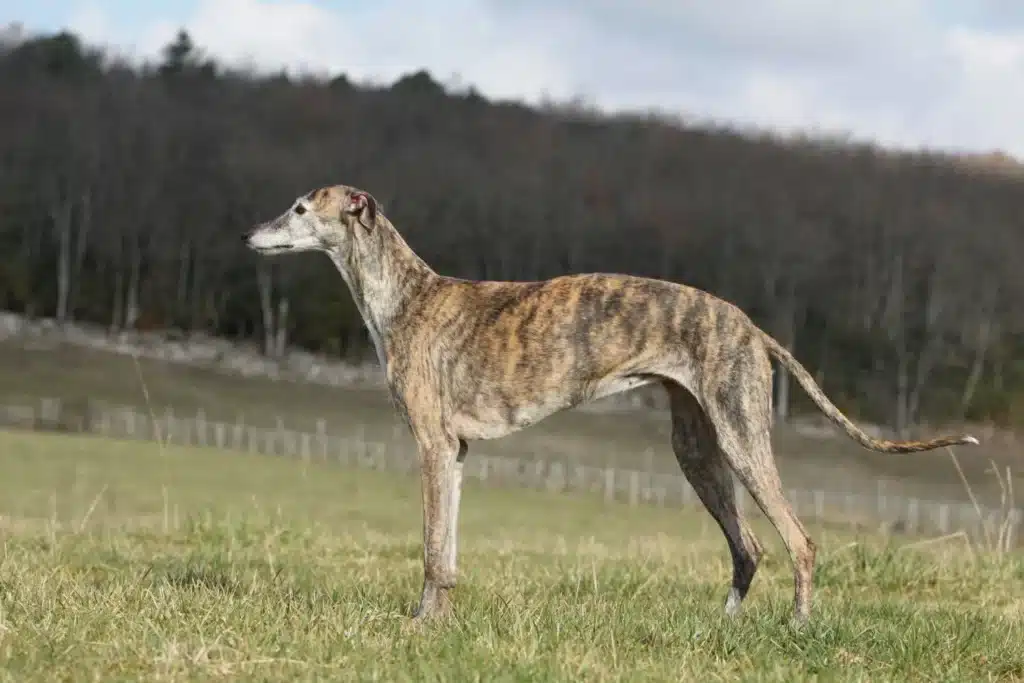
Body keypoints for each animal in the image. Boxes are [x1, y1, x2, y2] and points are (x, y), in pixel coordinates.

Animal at [243, 181, 978, 626]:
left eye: (301, 210)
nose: (250, 236)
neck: (405, 296)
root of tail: (751, 327)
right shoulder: (453, 452)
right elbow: (443, 552)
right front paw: (437, 622)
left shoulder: (430, 445)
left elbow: (429, 547)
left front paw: (419, 627)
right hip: (697, 448)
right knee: (747, 548)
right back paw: (725, 628)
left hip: (741, 437)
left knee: (798, 540)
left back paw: (797, 627)